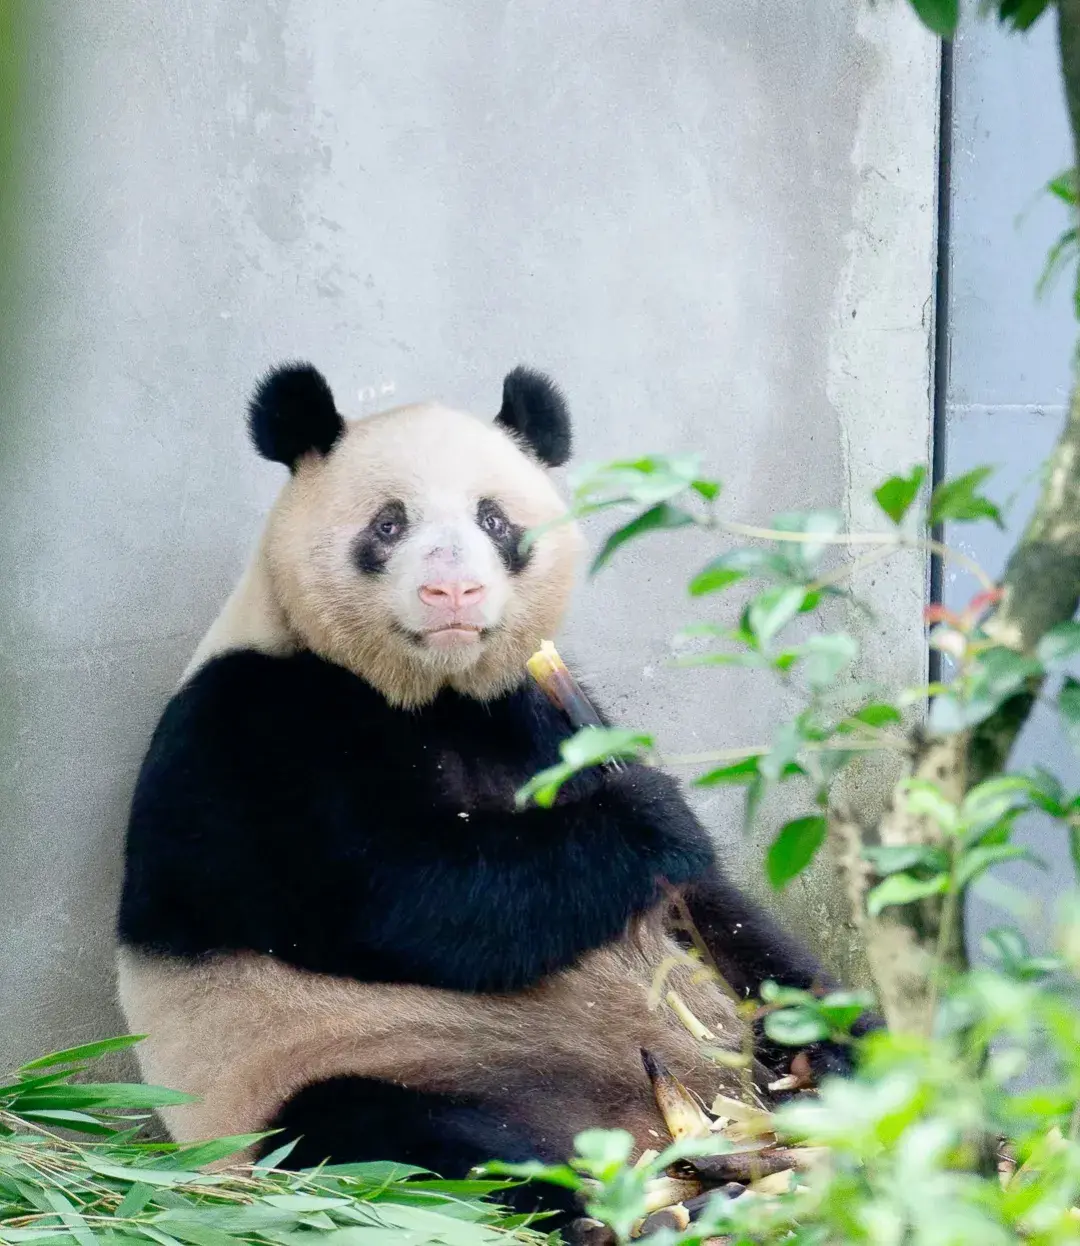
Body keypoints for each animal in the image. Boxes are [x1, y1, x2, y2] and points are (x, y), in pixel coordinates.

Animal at [115, 363, 862, 1226]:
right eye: (389, 524)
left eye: (494, 518)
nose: (455, 591)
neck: (433, 695)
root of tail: (643, 1128)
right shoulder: (249, 733)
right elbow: (406, 896)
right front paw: (650, 818)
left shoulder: (539, 708)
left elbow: (724, 916)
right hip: (333, 1077)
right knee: (381, 1138)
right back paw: (613, 1207)